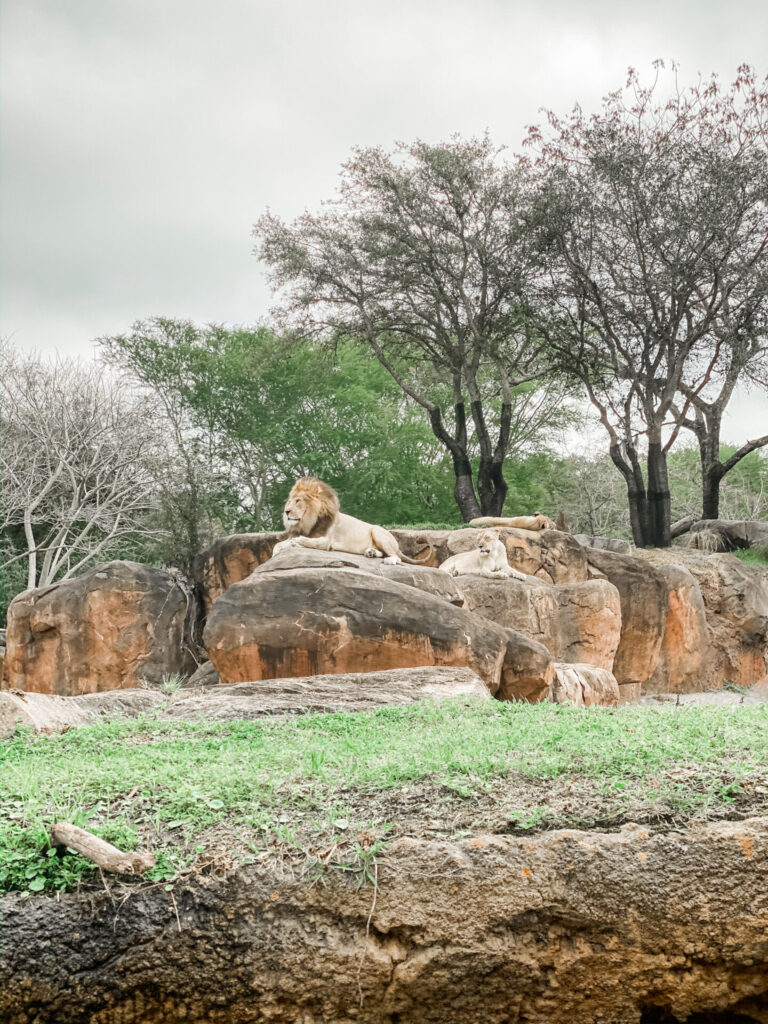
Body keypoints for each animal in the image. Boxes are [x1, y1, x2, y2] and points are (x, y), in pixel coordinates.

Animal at [270, 477, 433, 565]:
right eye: (289, 502)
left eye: (298, 501)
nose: (286, 512)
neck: (308, 522)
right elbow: (278, 545)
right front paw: (276, 553)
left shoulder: (326, 542)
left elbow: (306, 541)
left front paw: (296, 542)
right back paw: (371, 552)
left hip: (377, 531)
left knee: (396, 556)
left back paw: (389, 560)